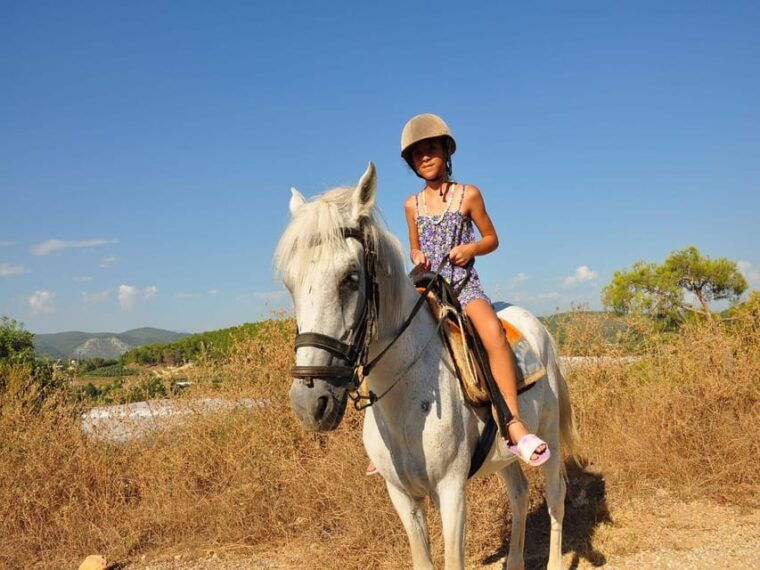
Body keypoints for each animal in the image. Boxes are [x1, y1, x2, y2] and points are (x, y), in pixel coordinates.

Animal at [275, 162, 577, 570]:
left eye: (350, 279)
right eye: (290, 284)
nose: (309, 403)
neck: (404, 399)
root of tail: (537, 325)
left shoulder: (452, 491)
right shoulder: (402, 496)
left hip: (549, 438)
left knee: (556, 497)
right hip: (505, 455)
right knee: (520, 494)